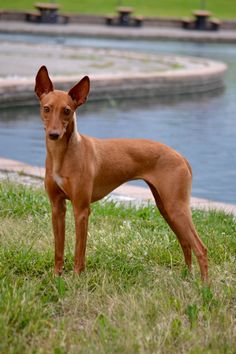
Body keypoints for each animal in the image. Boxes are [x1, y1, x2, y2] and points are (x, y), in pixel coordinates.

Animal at [34, 65, 207, 282]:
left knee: (200, 248)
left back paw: (204, 285)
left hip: (176, 207)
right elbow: (59, 248)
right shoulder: (57, 207)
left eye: (67, 110)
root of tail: (181, 156)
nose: (54, 135)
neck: (62, 156)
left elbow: (79, 251)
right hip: (166, 207)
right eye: (46, 108)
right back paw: (187, 278)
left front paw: (77, 278)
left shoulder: (81, 210)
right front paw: (56, 276)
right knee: (185, 243)